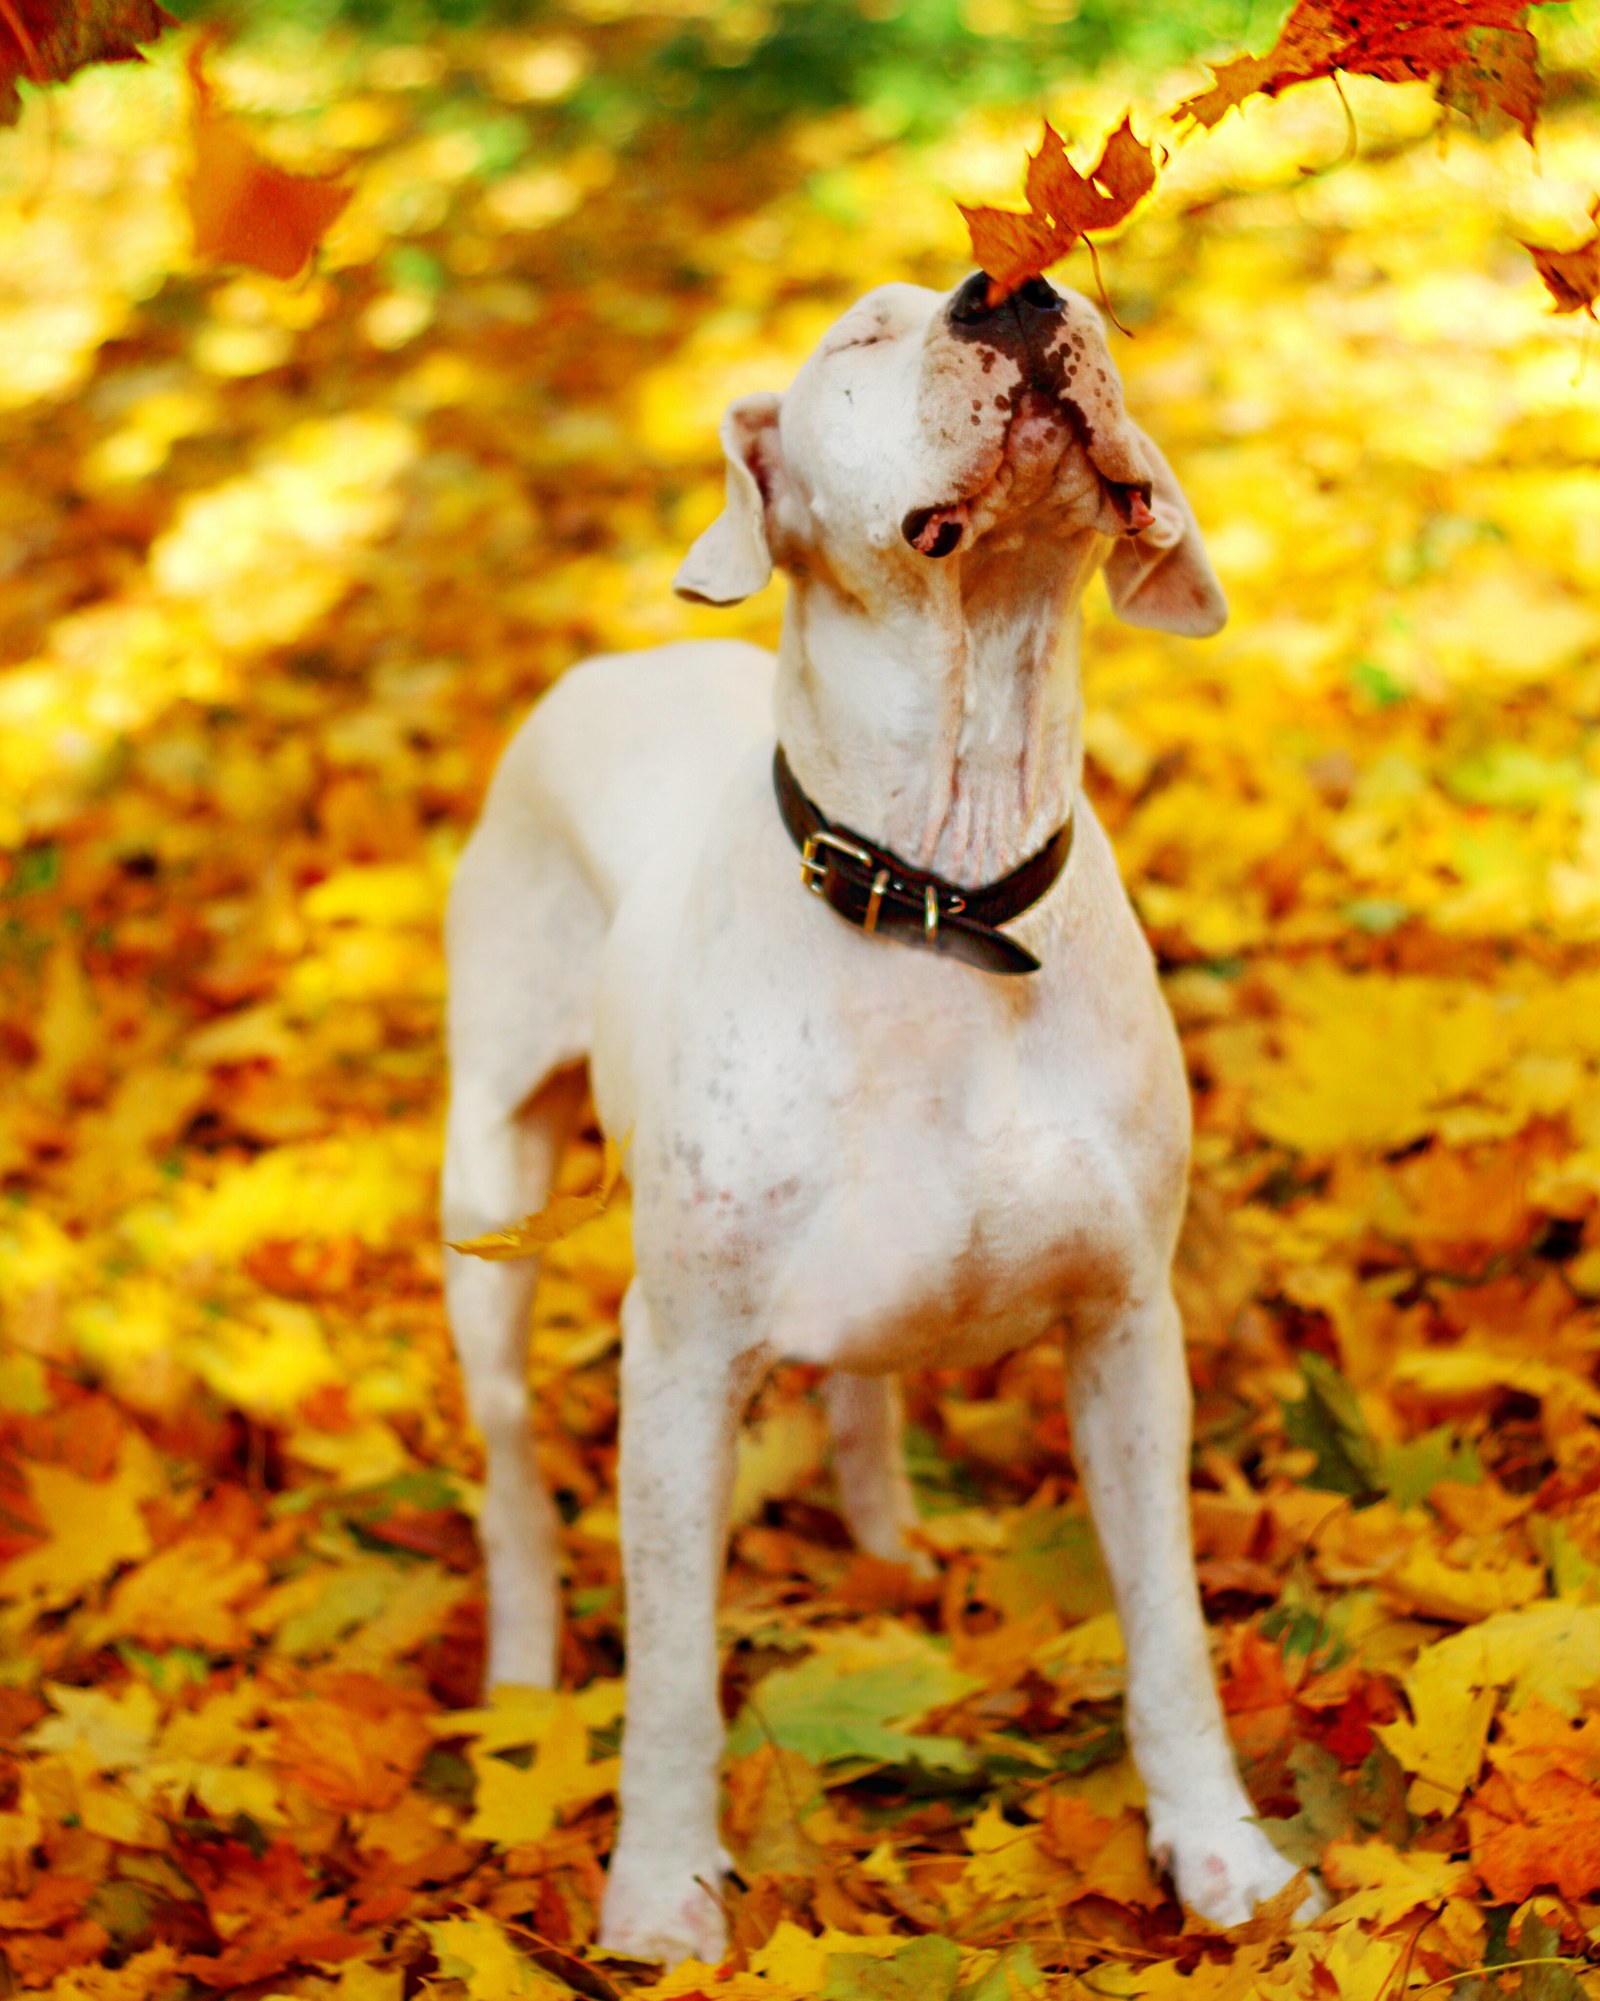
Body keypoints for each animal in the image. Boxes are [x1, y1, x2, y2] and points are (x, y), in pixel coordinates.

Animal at [440, 274, 1312, 1960]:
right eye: (858, 338)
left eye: (1075, 285)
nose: (1011, 286)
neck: (941, 896)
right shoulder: (680, 1358)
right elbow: (672, 1665)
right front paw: (660, 1891)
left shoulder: (1127, 1328)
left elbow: (1168, 1621)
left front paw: (1220, 1851)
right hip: (488, 1182)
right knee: (509, 1450)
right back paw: (519, 1670)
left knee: (858, 1384)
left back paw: (889, 1537)